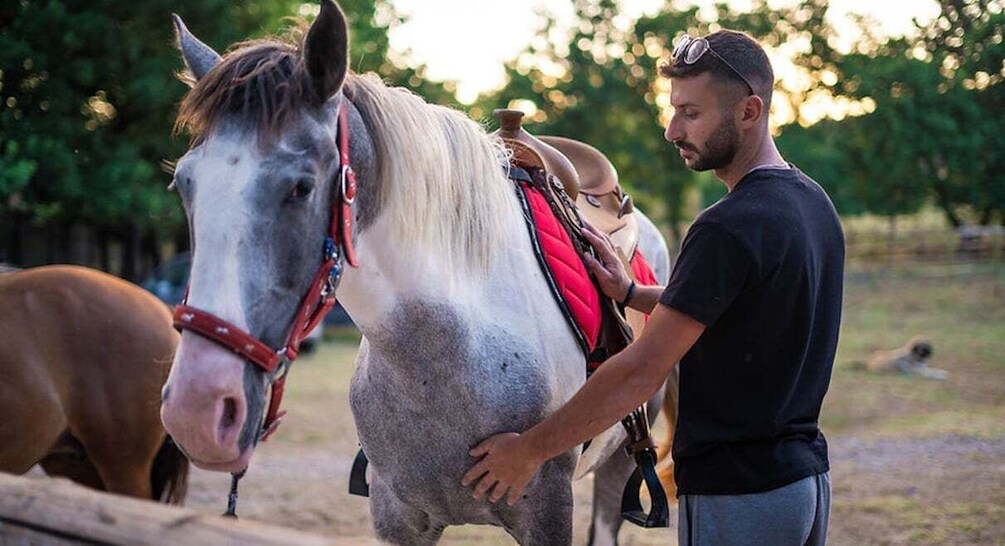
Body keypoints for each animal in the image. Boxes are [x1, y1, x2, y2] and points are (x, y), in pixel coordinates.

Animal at [158, 2, 667, 542]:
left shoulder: (548, 510)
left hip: (616, 470)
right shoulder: (396, 515)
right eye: (183, 183)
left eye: (300, 187)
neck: (445, 351)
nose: (195, 410)